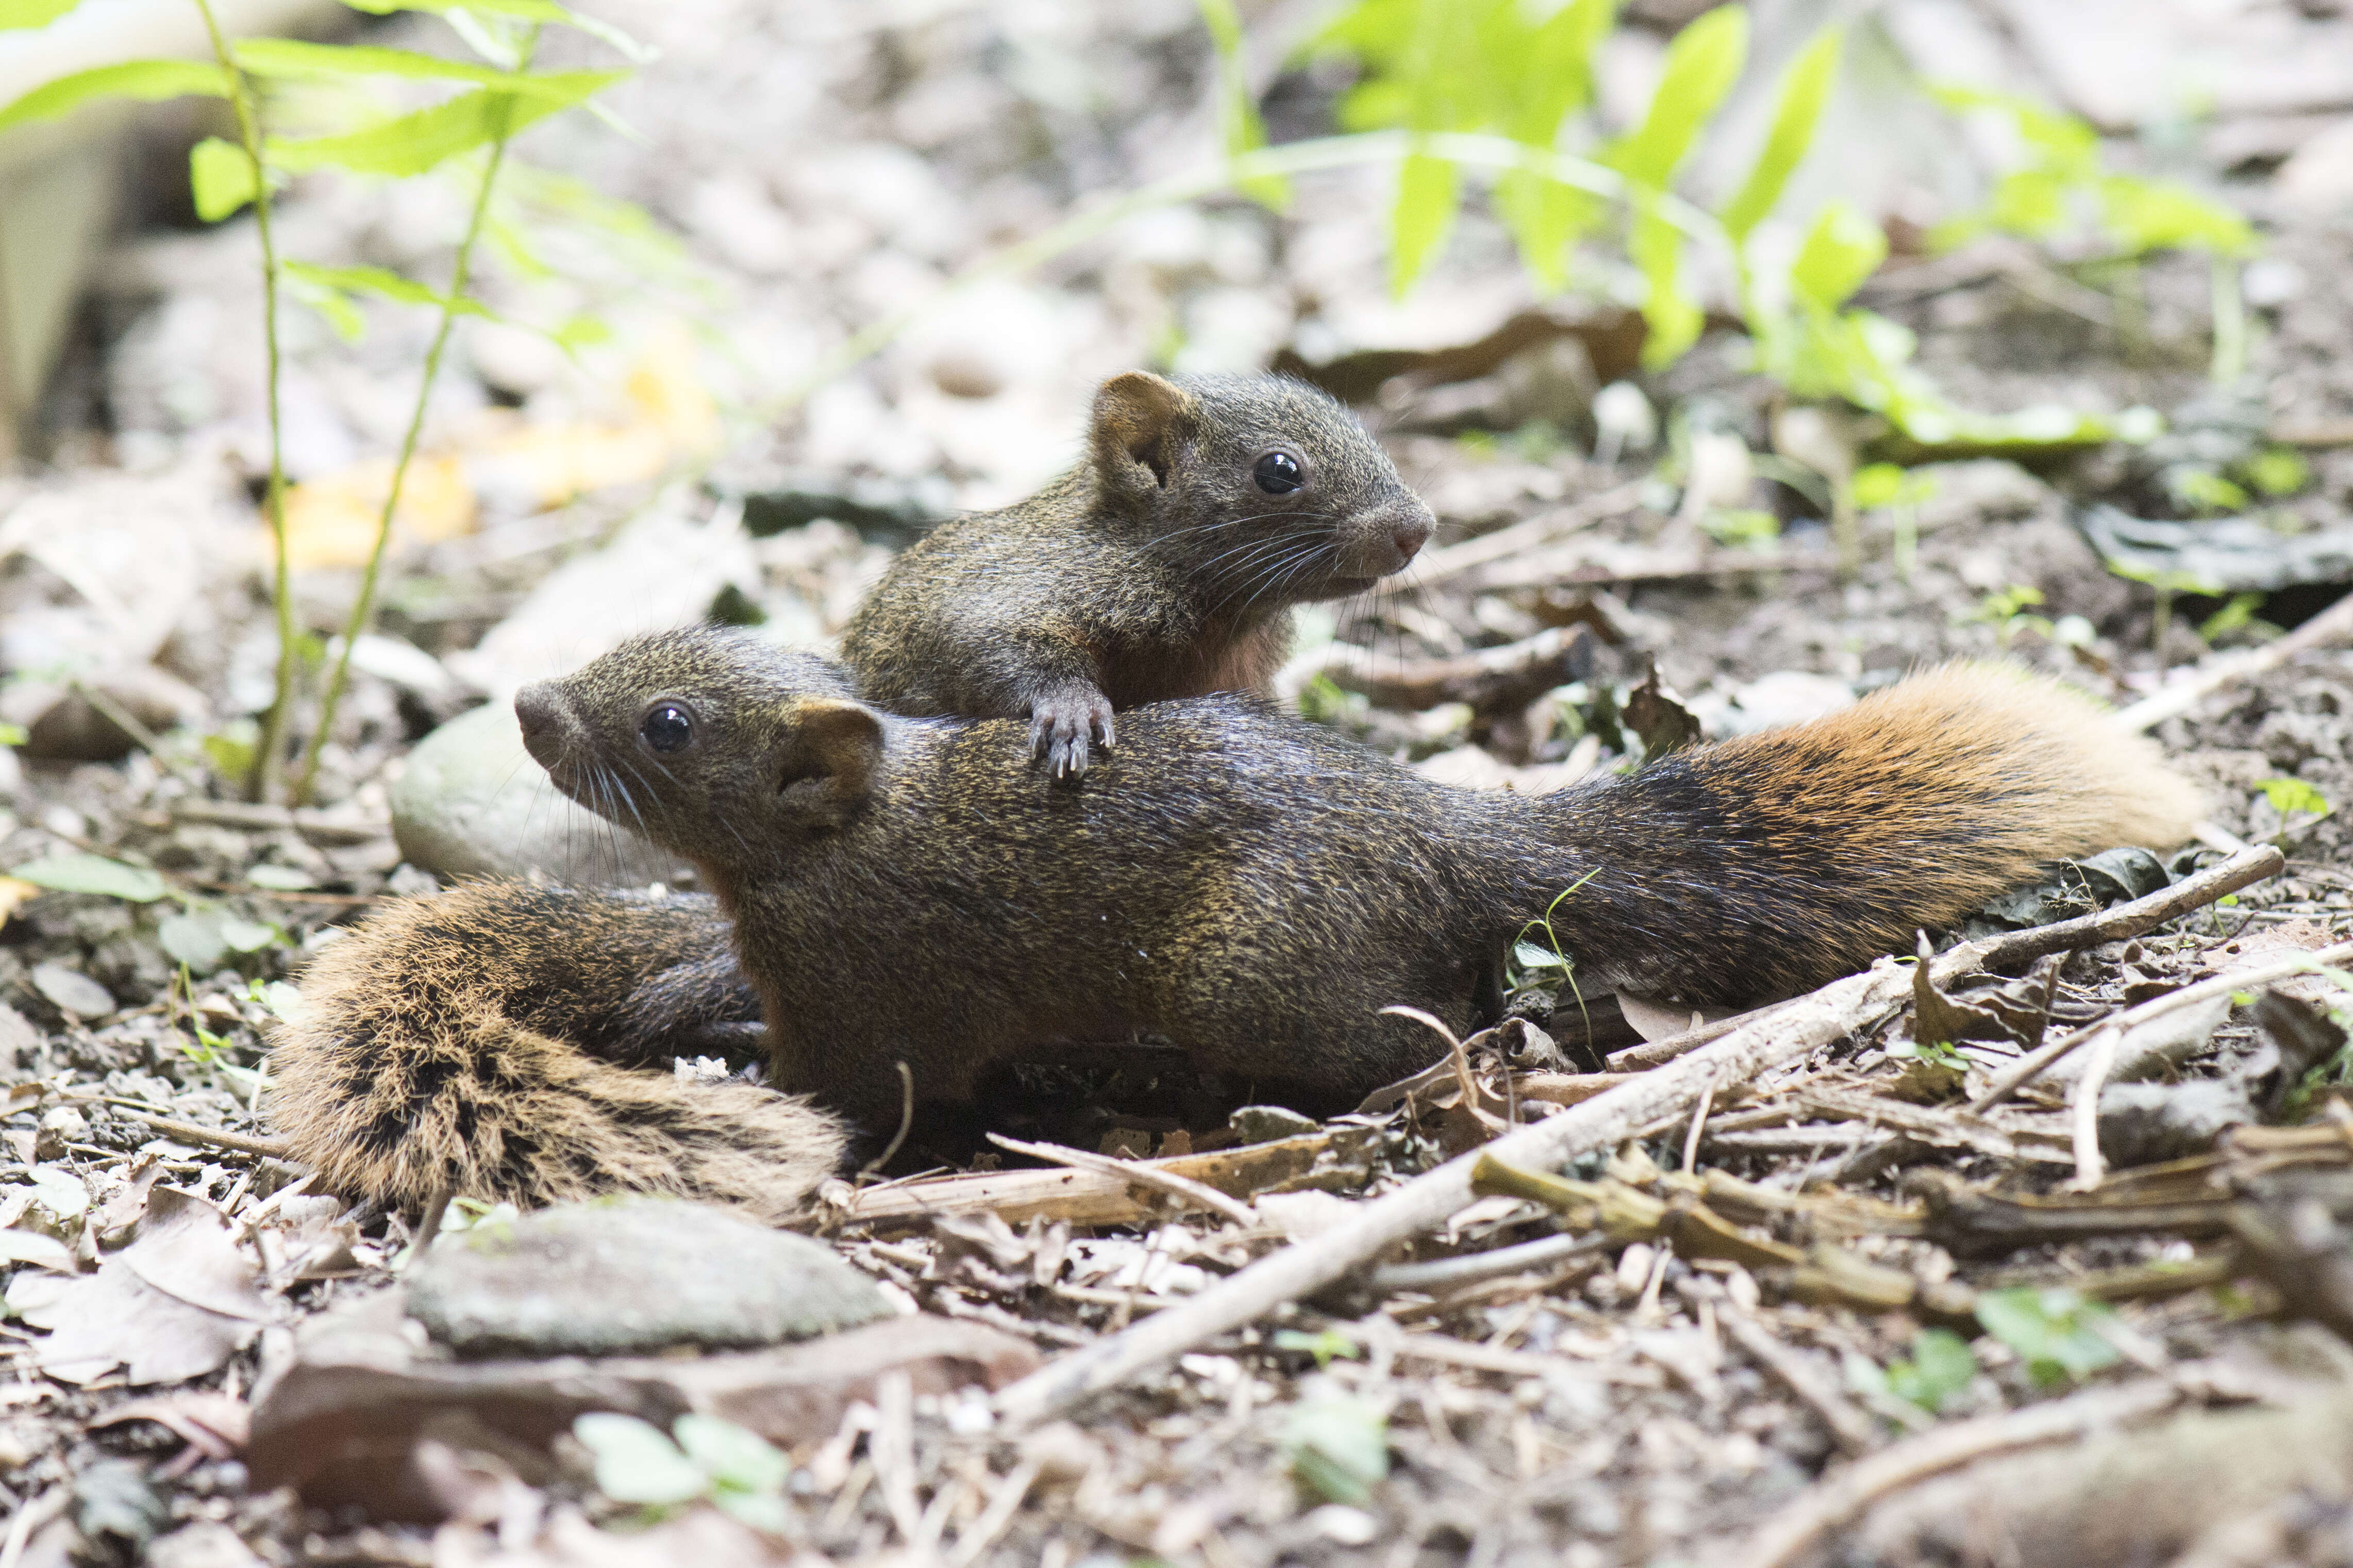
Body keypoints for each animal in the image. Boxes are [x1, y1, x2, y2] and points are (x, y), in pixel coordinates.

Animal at [275, 625, 2202, 1213]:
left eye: (669, 724)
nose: (530, 705)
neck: (818, 858)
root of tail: (1448, 837)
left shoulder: (870, 1006)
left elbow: (864, 1095)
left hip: (1256, 979)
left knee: (1428, 1024)